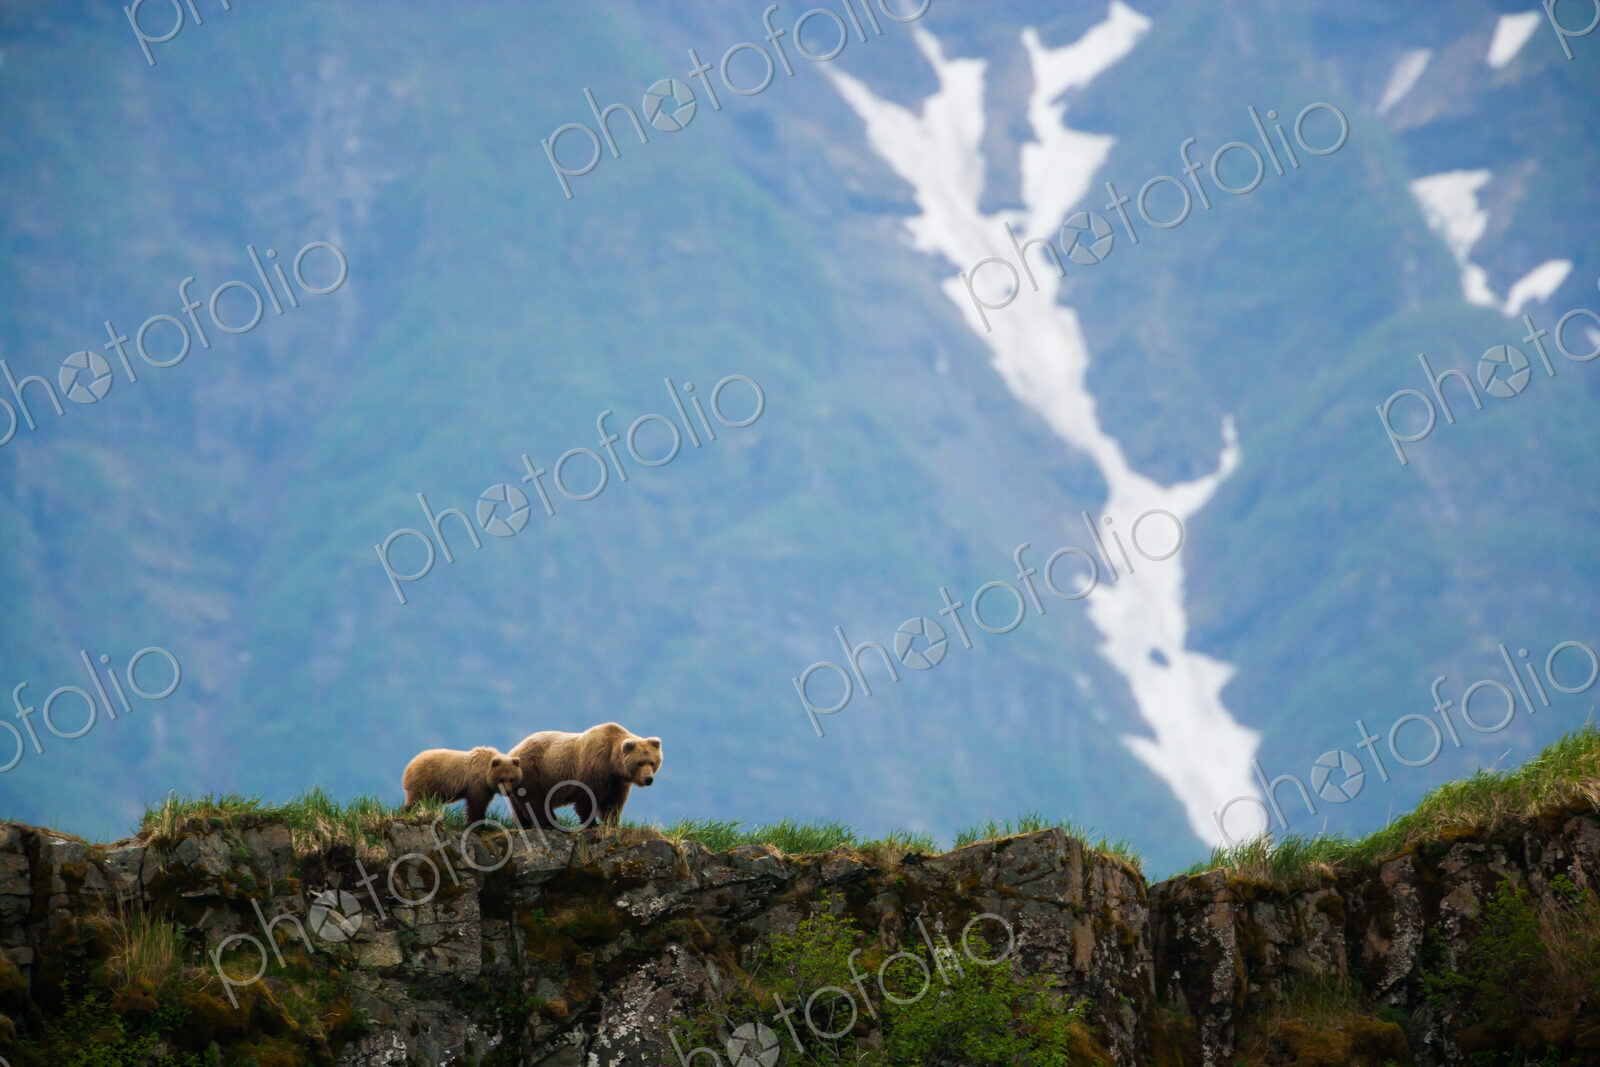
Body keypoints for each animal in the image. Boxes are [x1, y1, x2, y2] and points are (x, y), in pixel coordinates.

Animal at [505, 722, 661, 830]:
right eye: (639, 763)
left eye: (652, 762)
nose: (648, 779)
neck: (611, 763)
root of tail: (512, 752)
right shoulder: (593, 768)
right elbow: (587, 798)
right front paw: (592, 824)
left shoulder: (617, 781)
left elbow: (614, 802)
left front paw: (612, 823)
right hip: (533, 773)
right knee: (535, 801)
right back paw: (550, 823)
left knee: (518, 807)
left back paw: (524, 824)